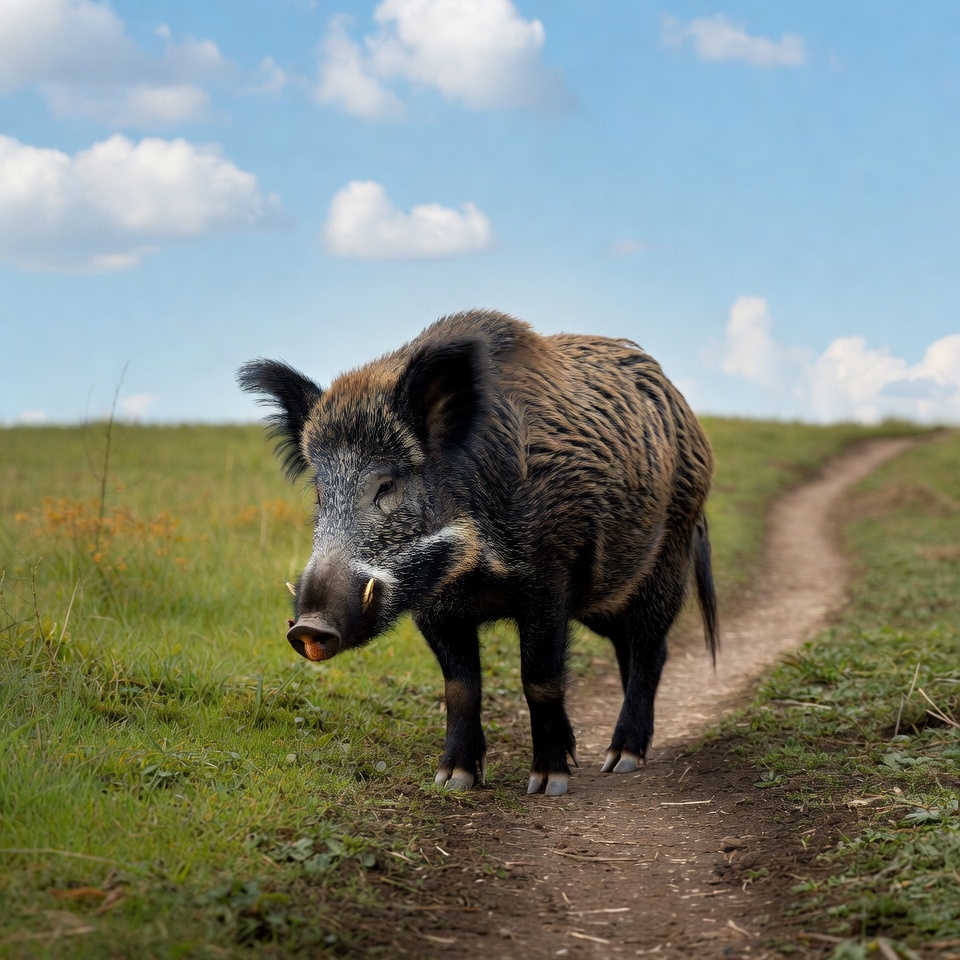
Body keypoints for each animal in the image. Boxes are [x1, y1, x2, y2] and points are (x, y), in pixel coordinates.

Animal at [238, 310, 718, 797]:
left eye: (386, 485)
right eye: (320, 493)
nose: (308, 628)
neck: (473, 568)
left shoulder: (549, 579)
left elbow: (540, 680)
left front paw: (549, 782)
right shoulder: (434, 607)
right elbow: (460, 688)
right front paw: (453, 780)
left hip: (667, 559)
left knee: (650, 649)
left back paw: (622, 760)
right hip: (605, 599)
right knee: (632, 649)